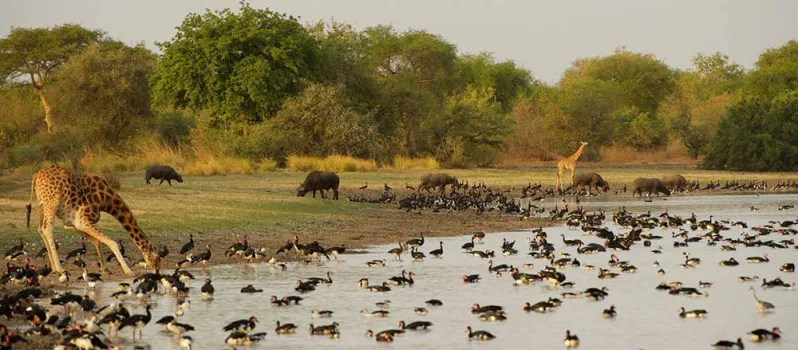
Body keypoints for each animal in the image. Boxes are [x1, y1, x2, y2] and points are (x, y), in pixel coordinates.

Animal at [26, 164, 162, 276]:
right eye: (157, 258)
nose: (157, 271)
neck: (106, 201)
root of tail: (36, 175)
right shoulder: (83, 221)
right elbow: (112, 242)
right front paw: (128, 271)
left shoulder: (74, 223)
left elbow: (97, 241)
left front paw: (105, 269)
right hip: (51, 202)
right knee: (47, 228)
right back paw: (60, 269)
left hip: (42, 204)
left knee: (40, 229)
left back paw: (54, 268)